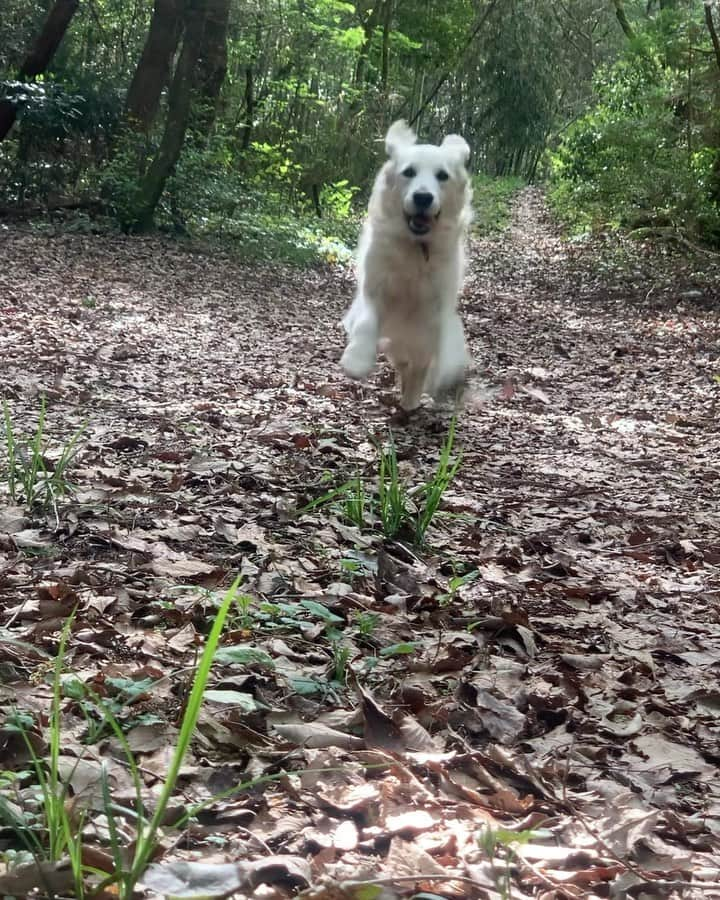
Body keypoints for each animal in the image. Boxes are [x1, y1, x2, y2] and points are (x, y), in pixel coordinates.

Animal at [342, 119, 472, 412]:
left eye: (442, 176)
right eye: (409, 172)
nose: (423, 197)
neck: (416, 246)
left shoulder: (438, 307)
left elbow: (439, 345)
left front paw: (440, 376)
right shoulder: (375, 289)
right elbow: (366, 321)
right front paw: (356, 359)